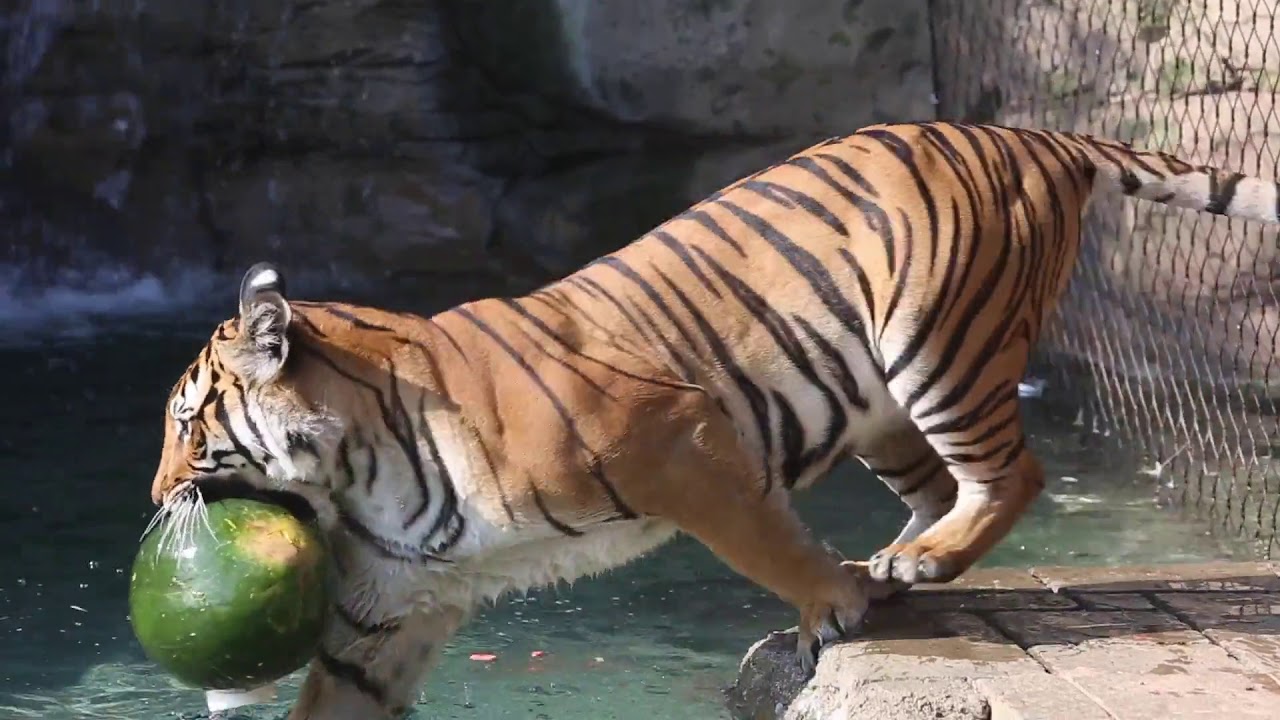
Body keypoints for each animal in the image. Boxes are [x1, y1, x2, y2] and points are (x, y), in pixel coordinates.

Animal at [149, 121, 1280, 719]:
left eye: (189, 422)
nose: (158, 494)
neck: (359, 465)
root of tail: (1028, 133)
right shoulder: (382, 611)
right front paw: (847, 591)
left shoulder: (682, 444)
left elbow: (764, 543)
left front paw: (828, 605)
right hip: (882, 406)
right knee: (940, 487)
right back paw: (897, 564)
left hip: (940, 348)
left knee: (1015, 473)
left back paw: (901, 569)